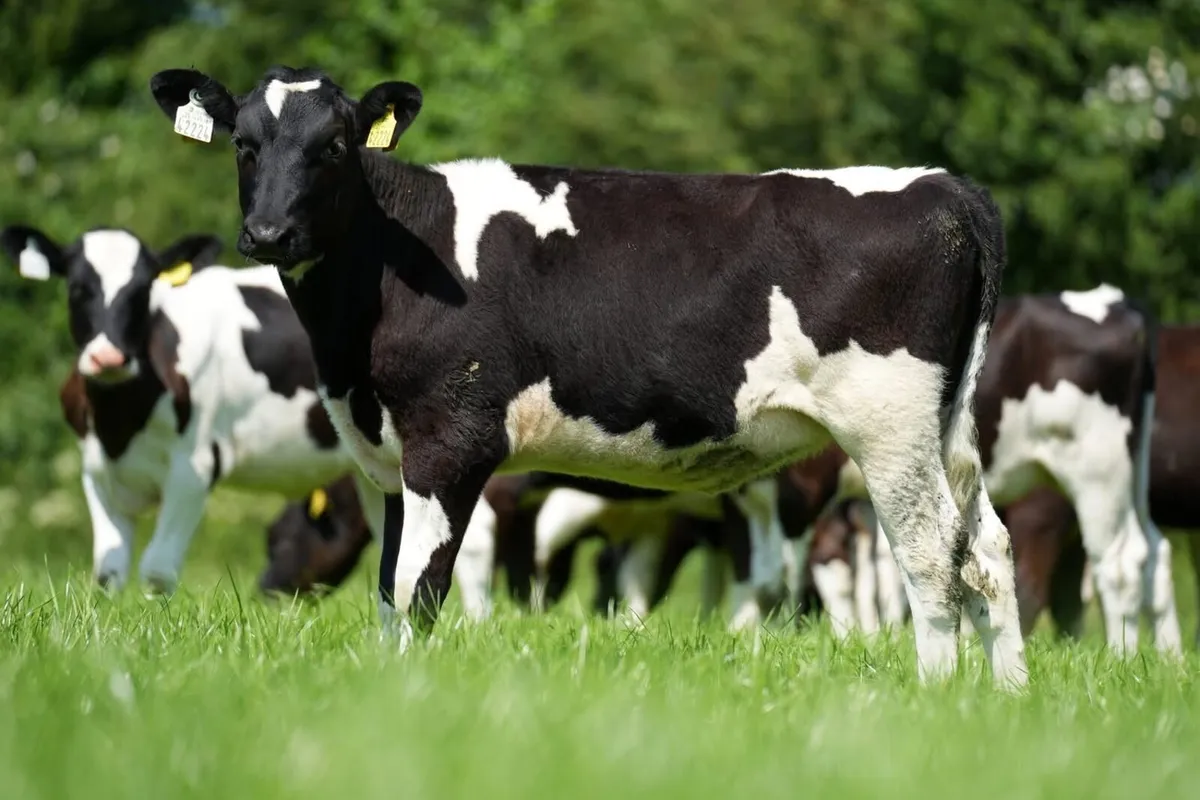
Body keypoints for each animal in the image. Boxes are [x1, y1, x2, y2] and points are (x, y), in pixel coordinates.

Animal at [149, 64, 1025, 686]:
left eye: (333, 145)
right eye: (244, 144)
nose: (269, 232)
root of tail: (943, 184)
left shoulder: (450, 441)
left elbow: (418, 589)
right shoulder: (386, 458)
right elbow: (387, 593)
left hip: (888, 425)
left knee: (931, 555)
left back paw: (937, 695)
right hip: (949, 427)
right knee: (988, 547)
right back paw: (1005, 698)